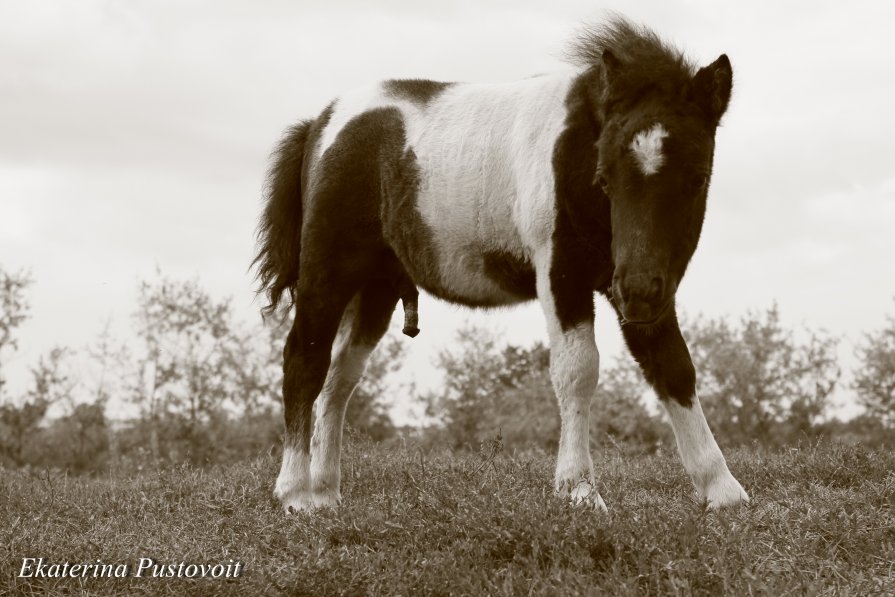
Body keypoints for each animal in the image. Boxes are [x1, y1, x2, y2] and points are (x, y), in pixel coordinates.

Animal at [258, 17, 748, 512]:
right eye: (605, 177)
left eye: (697, 178)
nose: (640, 292)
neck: (575, 146)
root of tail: (319, 126)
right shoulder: (562, 273)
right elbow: (577, 370)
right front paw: (578, 489)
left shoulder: (639, 280)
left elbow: (672, 365)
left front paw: (722, 489)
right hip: (328, 271)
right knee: (304, 361)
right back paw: (296, 492)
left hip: (375, 289)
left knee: (339, 379)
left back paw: (325, 493)